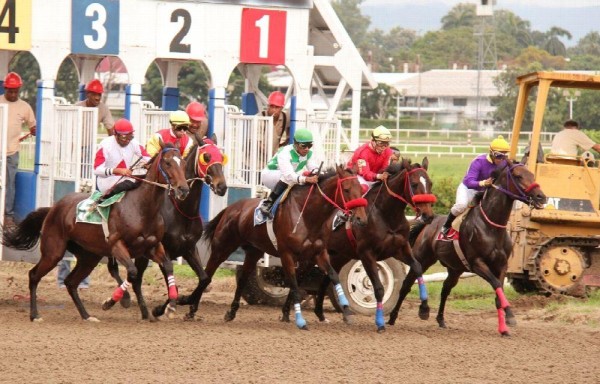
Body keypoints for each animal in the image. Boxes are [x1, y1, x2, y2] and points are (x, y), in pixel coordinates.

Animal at [1, 146, 189, 322]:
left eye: (183, 163)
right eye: (168, 163)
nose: (183, 189)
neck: (142, 208)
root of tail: (53, 208)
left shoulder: (152, 247)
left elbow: (168, 266)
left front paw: (171, 306)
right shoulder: (117, 245)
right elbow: (132, 272)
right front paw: (111, 302)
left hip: (89, 256)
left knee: (71, 282)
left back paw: (86, 315)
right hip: (53, 251)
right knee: (34, 275)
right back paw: (35, 315)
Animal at [106, 140, 229, 320]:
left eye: (221, 156)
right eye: (206, 157)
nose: (222, 186)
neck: (181, 210)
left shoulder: (189, 248)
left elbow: (204, 279)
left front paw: (188, 304)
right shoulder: (165, 249)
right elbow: (174, 285)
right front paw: (161, 308)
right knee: (128, 275)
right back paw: (130, 301)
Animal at [202, 164, 368, 328]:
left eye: (361, 189)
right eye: (346, 189)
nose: (361, 218)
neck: (307, 215)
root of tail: (231, 208)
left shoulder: (318, 253)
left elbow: (333, 275)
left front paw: (346, 309)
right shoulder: (287, 254)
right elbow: (294, 285)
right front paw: (299, 319)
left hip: (254, 251)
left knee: (243, 278)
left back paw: (231, 312)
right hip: (223, 246)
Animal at [284, 158, 438, 332]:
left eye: (430, 183)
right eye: (414, 184)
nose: (428, 215)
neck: (386, 215)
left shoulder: (400, 248)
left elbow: (417, 268)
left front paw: (424, 309)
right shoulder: (367, 254)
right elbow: (378, 288)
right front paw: (380, 322)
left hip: (337, 255)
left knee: (326, 278)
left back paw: (321, 314)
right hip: (309, 255)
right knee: (298, 277)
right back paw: (287, 313)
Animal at [392, 159, 548, 336]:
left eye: (532, 175)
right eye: (518, 176)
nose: (541, 196)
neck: (491, 227)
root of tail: (428, 223)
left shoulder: (501, 265)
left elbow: (498, 291)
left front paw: (505, 326)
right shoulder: (477, 263)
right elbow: (495, 284)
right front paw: (510, 315)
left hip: (455, 268)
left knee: (445, 288)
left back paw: (441, 319)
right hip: (423, 259)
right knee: (407, 284)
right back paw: (394, 317)